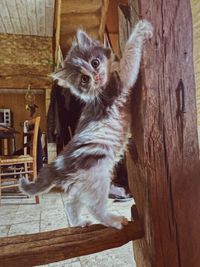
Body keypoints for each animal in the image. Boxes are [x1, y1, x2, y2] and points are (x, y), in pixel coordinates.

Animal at [19, 21, 152, 230]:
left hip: (83, 183)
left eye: (95, 63)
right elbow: (129, 53)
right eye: (84, 79)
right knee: (95, 208)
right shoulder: (121, 80)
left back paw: (79, 222)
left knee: (71, 203)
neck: (102, 86)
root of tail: (60, 163)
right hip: (98, 175)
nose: (95, 76)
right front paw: (140, 30)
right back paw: (113, 220)